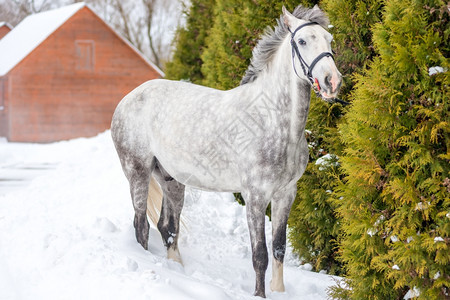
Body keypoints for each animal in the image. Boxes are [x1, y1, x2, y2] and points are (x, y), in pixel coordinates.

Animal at [111, 4, 342, 298]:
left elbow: (279, 248)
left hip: (171, 180)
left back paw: (178, 270)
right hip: (138, 172)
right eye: (301, 41)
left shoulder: (286, 194)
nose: (331, 81)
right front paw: (260, 294)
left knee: (167, 228)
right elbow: (260, 255)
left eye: (329, 40)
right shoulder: (255, 197)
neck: (271, 119)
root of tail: (127, 99)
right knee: (141, 226)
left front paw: (278, 291)